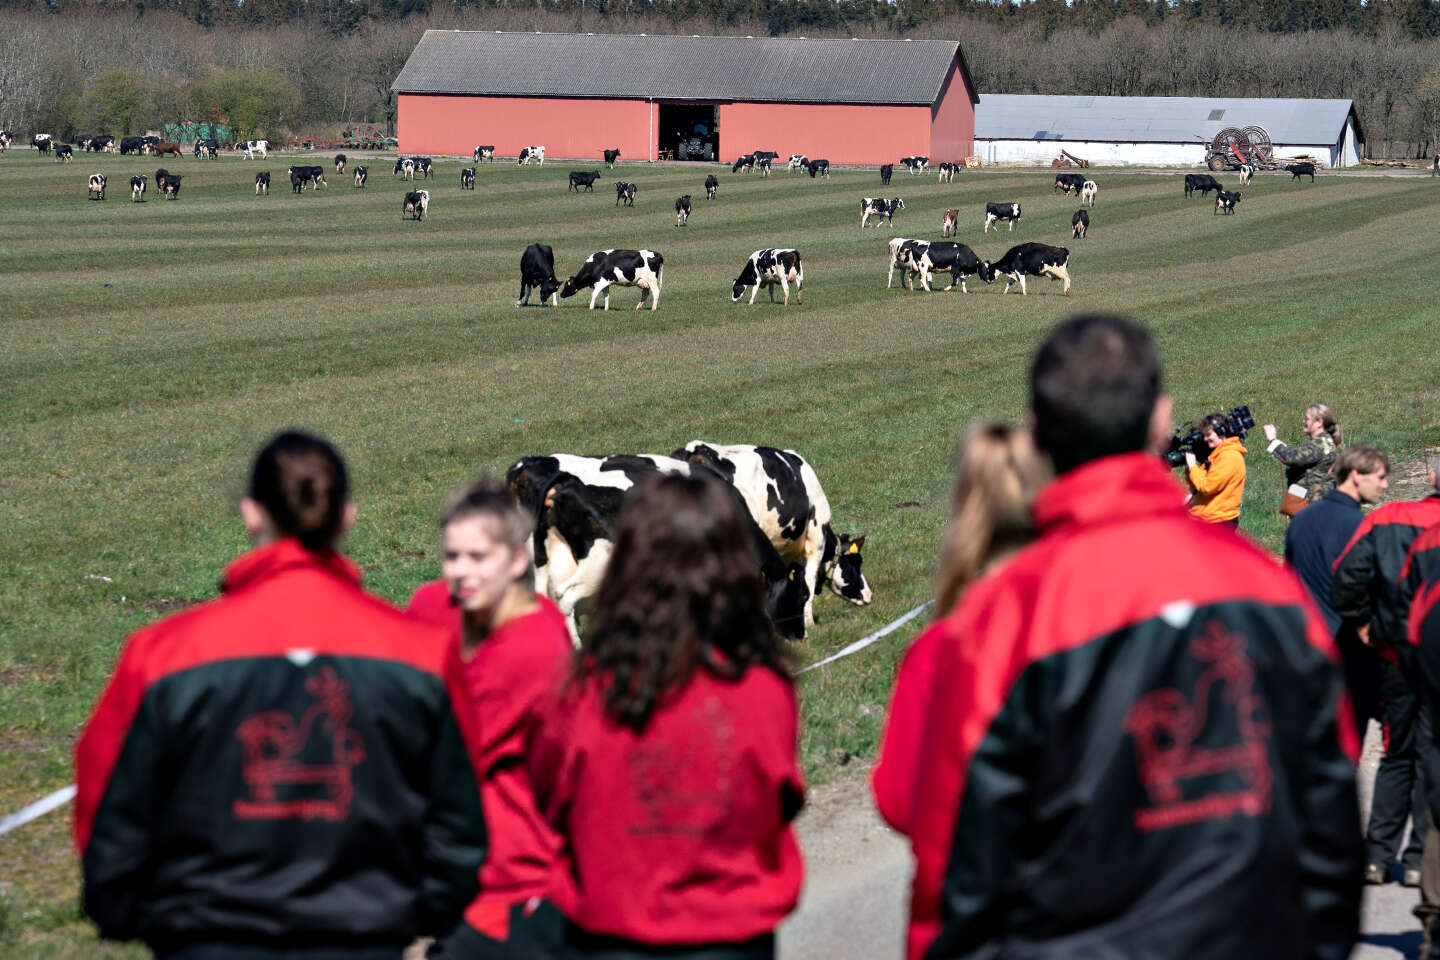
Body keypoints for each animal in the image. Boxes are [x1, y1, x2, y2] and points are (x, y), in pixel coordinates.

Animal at [671, 440, 864, 630]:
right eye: (855, 563)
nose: (868, 595)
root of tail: (693, 449)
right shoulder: (816, 538)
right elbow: (808, 579)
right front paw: (808, 622)